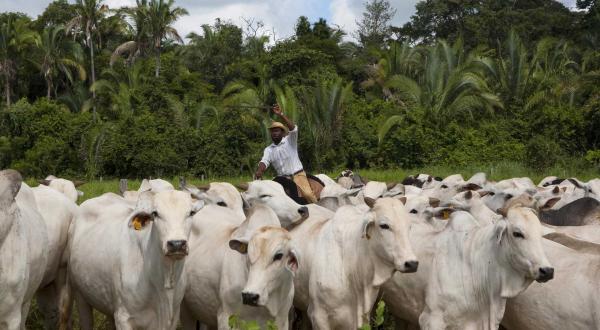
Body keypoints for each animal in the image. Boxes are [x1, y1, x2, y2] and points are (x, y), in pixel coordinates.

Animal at [67, 189, 200, 328]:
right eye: (155, 213)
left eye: (191, 212)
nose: (177, 244)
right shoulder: (123, 318)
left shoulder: (172, 318)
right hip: (79, 293)